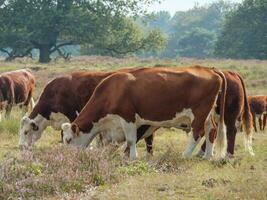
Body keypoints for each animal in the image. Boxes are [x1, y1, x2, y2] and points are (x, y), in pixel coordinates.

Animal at [61, 66, 227, 160]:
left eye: (68, 139)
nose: (66, 158)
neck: (113, 90)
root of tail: (210, 70)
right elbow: (108, 143)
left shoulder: (128, 118)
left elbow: (130, 140)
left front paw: (132, 157)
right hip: (208, 114)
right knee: (211, 130)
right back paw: (207, 156)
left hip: (199, 113)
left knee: (197, 132)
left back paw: (185, 155)